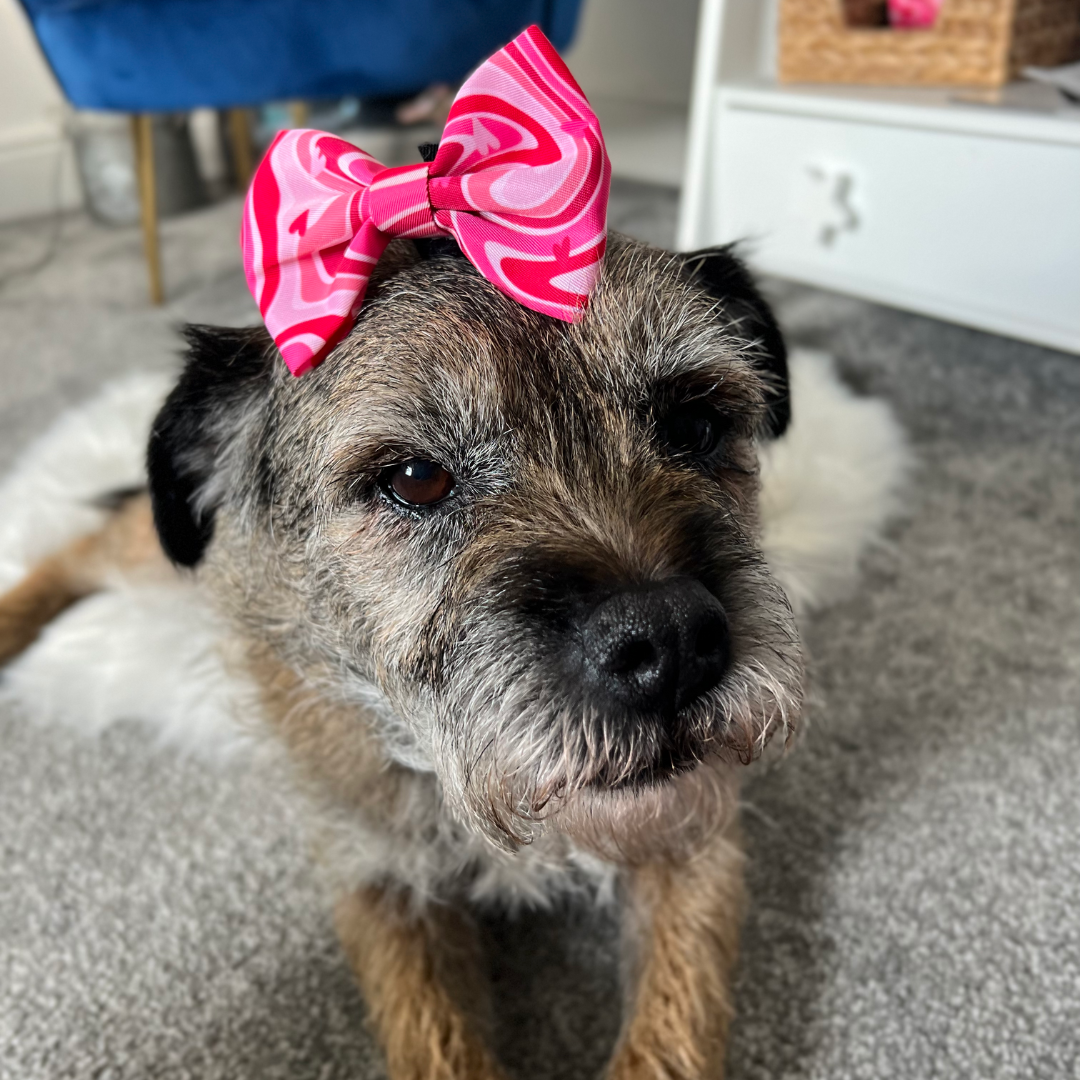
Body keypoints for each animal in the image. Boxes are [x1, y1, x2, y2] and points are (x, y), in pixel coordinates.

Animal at [0, 234, 803, 1080]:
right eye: (415, 478)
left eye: (695, 424)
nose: (672, 640)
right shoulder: (378, 878)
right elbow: (434, 1039)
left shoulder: (699, 835)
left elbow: (672, 1031)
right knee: (82, 547)